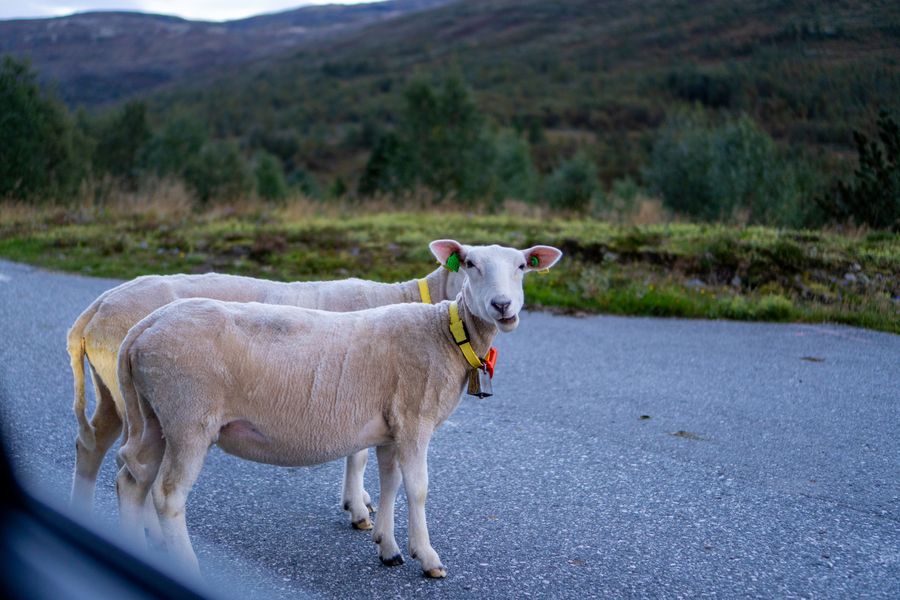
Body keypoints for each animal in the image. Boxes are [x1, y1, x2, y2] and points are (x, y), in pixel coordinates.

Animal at [67, 264, 464, 530]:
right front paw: (358, 509)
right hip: (153, 402)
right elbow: (358, 455)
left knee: (95, 444)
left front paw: (361, 503)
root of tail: (96, 308)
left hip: (114, 391)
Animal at [114, 240, 562, 577]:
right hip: (188, 416)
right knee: (167, 495)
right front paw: (427, 557)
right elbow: (416, 488)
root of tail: (143, 329)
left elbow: (389, 483)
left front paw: (388, 546)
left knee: (132, 477)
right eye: (469, 264)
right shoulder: (414, 420)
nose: (503, 306)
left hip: (154, 414)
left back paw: (136, 547)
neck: (445, 334)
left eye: (522, 266)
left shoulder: (390, 425)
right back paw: (187, 566)